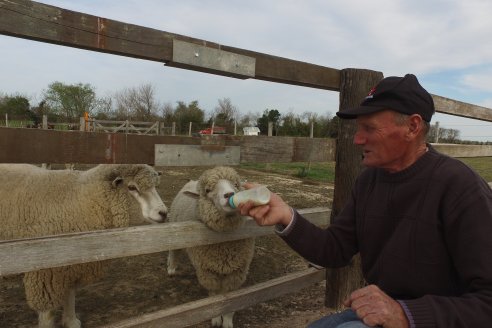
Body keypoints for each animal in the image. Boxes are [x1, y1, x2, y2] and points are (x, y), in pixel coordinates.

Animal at [0, 164, 168, 328]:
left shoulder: (70, 265)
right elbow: (48, 314)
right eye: (132, 187)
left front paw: (70, 321)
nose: (164, 213)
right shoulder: (44, 272)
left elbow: (70, 294)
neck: (81, 199)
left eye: (155, 186)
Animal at [167, 167, 256, 328]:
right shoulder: (207, 270)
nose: (229, 194)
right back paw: (171, 268)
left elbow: (231, 299)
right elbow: (214, 295)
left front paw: (227, 320)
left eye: (236, 184)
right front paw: (215, 318)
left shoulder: (237, 271)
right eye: (207, 190)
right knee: (173, 250)